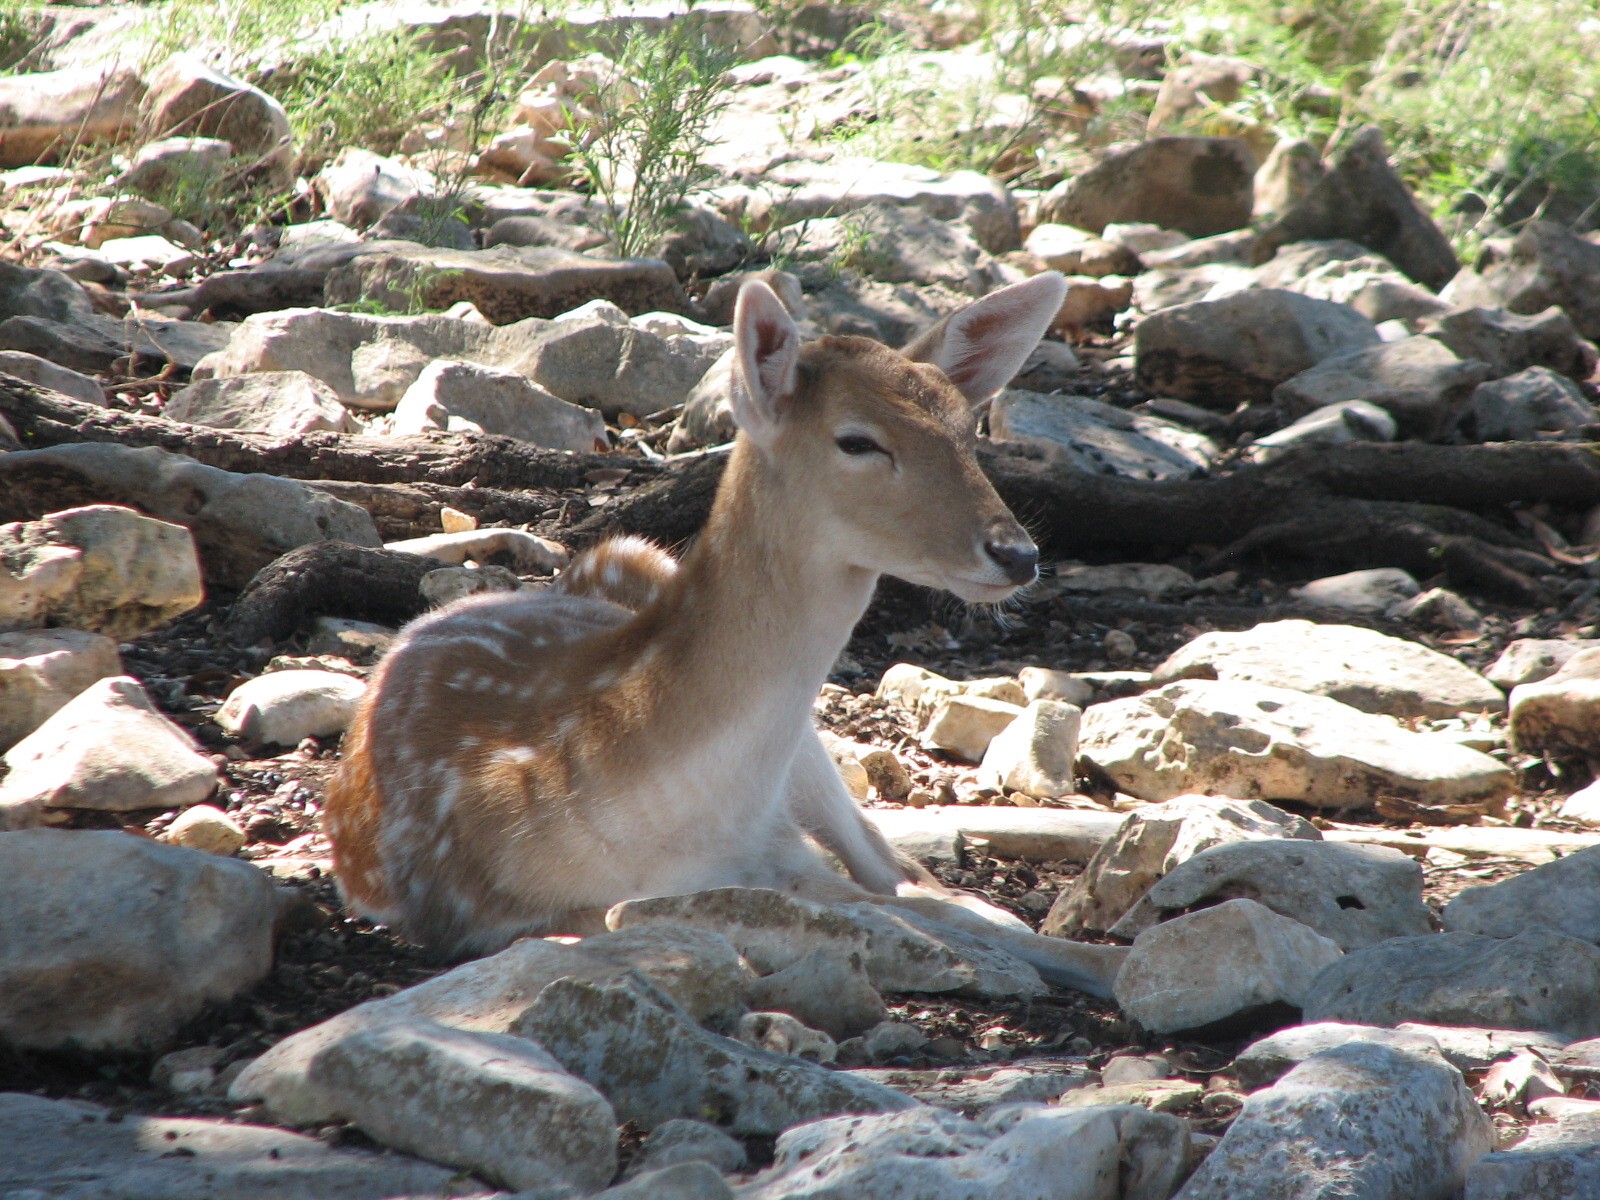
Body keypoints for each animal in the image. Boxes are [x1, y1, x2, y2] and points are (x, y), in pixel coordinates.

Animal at [324, 272, 1128, 997]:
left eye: (969, 429)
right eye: (857, 440)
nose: (1017, 553)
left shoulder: (779, 841)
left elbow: (916, 900)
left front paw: (1104, 963)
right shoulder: (492, 907)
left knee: (893, 859)